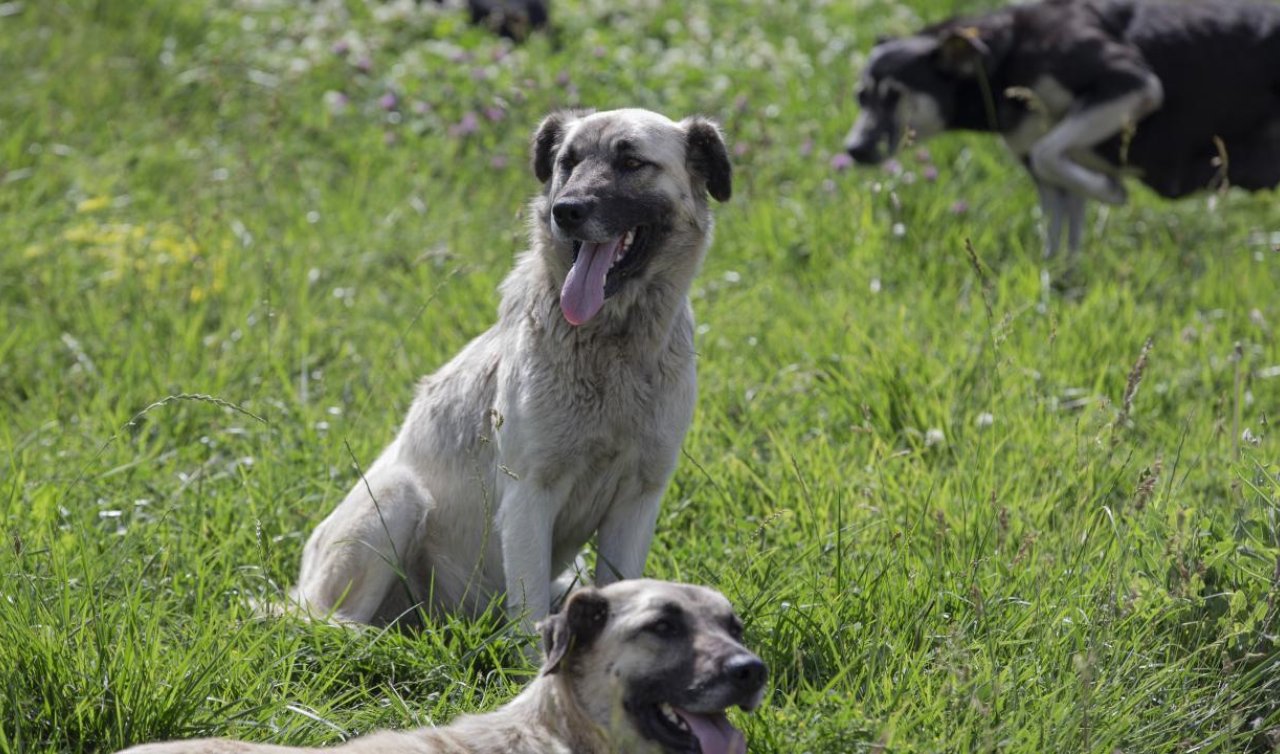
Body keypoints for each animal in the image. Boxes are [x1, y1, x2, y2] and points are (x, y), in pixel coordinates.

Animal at [849, 0, 1280, 256]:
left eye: (894, 95)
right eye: (860, 96)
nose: (852, 148)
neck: (1007, 54)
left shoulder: (1133, 83)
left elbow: (1051, 154)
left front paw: (1112, 189)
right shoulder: (1051, 182)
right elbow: (1059, 243)